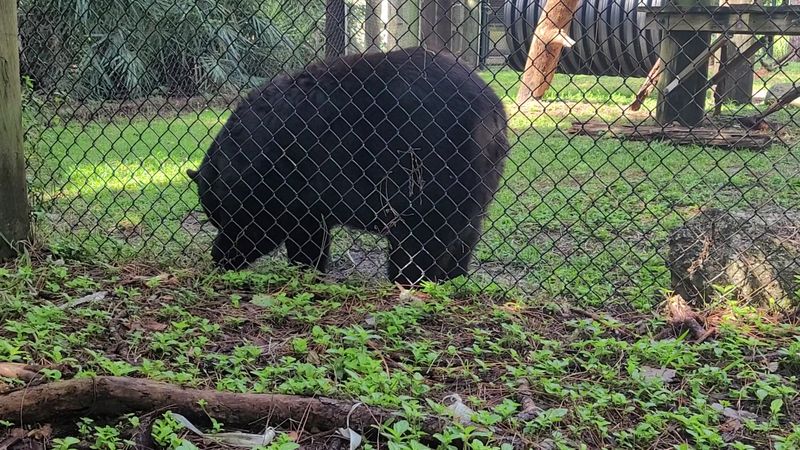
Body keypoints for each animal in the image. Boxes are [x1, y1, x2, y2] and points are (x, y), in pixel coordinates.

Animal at [187, 47, 509, 284]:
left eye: (219, 217)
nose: (217, 258)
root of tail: (493, 111)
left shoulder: (281, 178)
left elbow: (283, 232)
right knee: (464, 237)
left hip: (426, 174)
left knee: (418, 242)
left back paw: (407, 281)